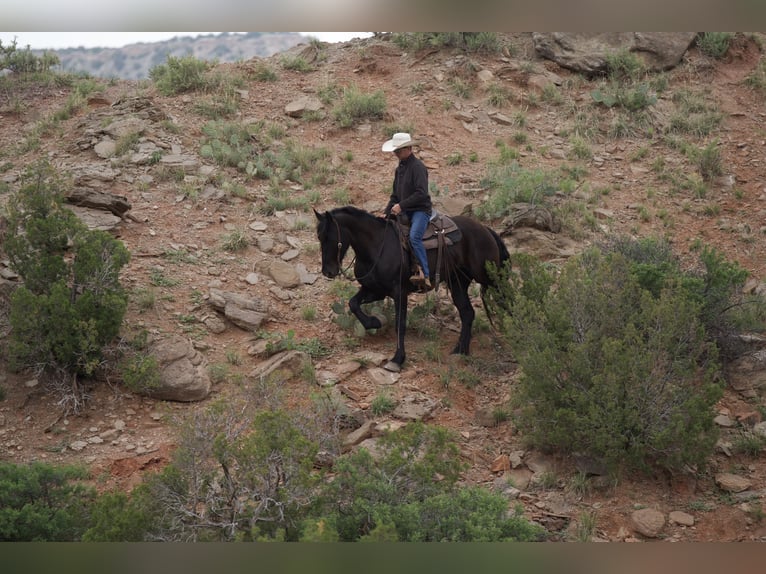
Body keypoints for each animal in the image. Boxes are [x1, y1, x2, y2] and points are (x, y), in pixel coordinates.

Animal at [316, 207, 512, 374]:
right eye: (319, 237)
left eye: (330, 237)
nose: (328, 271)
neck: (377, 246)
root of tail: (485, 229)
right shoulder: (374, 290)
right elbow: (353, 304)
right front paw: (374, 322)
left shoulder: (399, 292)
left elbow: (400, 325)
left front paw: (397, 359)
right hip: (458, 283)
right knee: (467, 313)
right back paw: (461, 350)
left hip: (490, 279)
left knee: (506, 301)